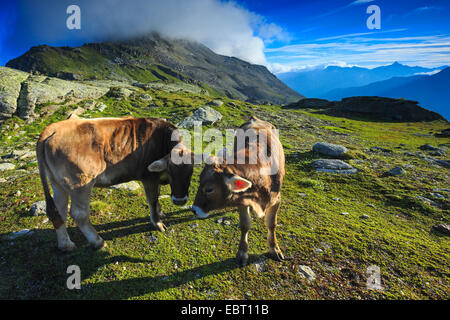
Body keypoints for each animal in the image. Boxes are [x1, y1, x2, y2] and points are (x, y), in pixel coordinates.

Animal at [37, 116, 193, 251]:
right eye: (171, 172)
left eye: (191, 172)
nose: (179, 201)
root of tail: (52, 128)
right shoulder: (149, 177)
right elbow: (153, 201)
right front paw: (158, 223)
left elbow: (157, 198)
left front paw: (161, 213)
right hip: (80, 183)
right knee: (79, 214)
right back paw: (98, 241)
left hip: (57, 184)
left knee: (59, 212)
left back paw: (66, 244)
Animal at [191, 116, 284, 266]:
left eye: (209, 189)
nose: (194, 209)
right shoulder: (243, 200)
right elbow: (245, 225)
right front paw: (242, 253)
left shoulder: (276, 198)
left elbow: (272, 224)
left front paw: (274, 248)